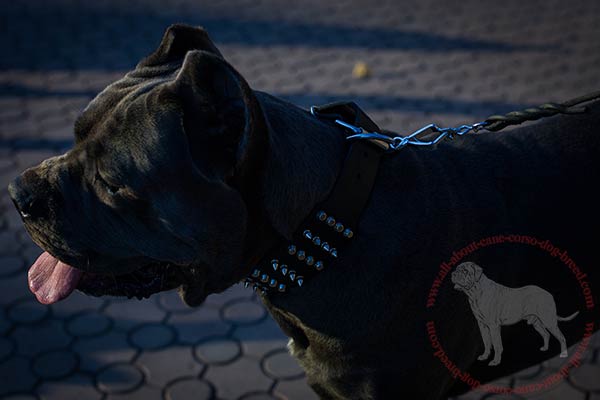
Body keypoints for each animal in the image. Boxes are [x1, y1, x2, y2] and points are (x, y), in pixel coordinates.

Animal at [452, 260, 580, 368]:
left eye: (465, 271)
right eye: (457, 269)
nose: (453, 274)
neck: (475, 293)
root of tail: (549, 294)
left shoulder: (493, 326)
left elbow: (497, 344)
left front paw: (495, 361)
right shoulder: (482, 325)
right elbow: (486, 342)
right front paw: (484, 356)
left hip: (549, 321)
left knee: (561, 337)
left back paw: (563, 354)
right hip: (536, 323)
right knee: (546, 334)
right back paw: (545, 348)